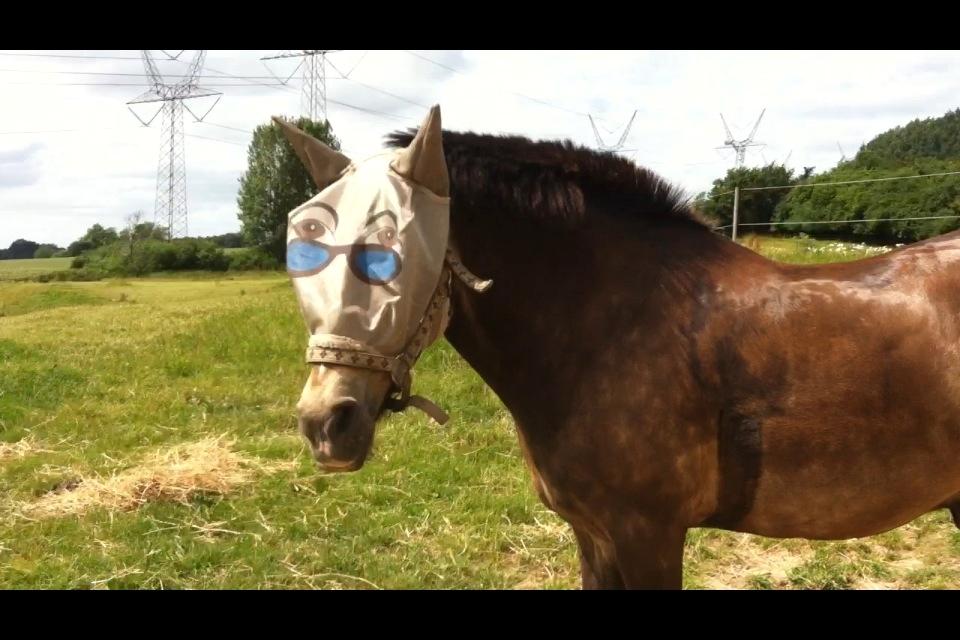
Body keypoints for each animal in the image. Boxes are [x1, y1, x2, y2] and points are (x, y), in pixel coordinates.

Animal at [276, 105, 960, 589]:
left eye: (391, 252)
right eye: (303, 246)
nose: (325, 424)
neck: (607, 328)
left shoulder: (647, 535)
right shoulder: (594, 534)